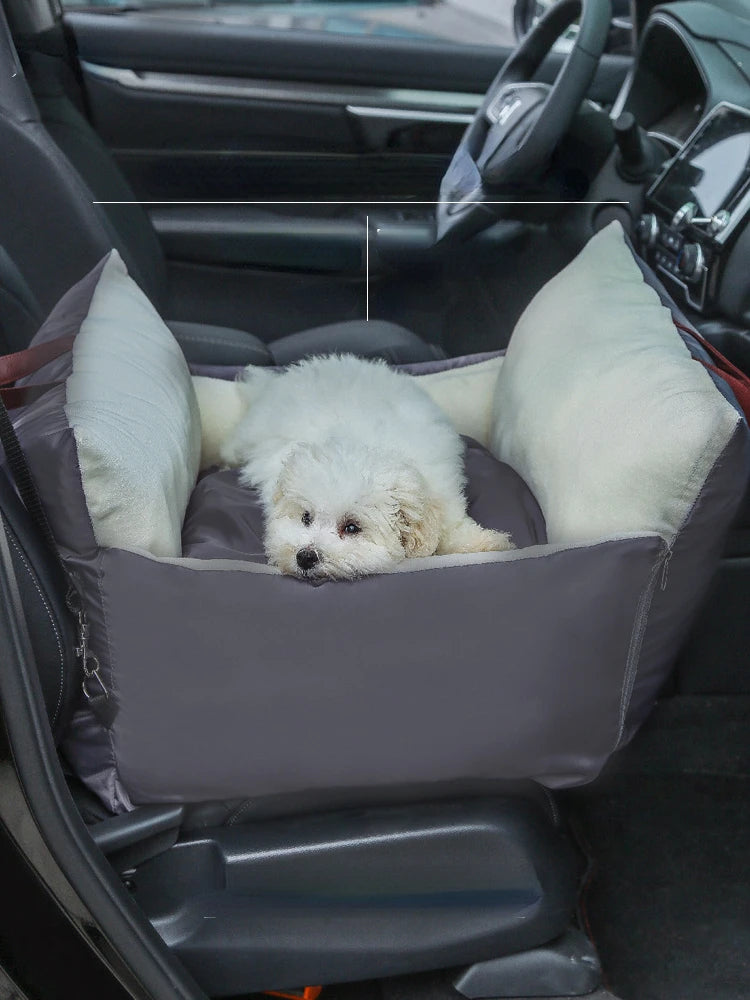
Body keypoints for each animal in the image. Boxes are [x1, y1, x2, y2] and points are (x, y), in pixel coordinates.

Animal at [217, 358, 512, 580]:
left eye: (351, 527)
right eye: (306, 518)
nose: (305, 557)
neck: (366, 444)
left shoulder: (444, 492)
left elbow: (454, 526)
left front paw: (487, 543)